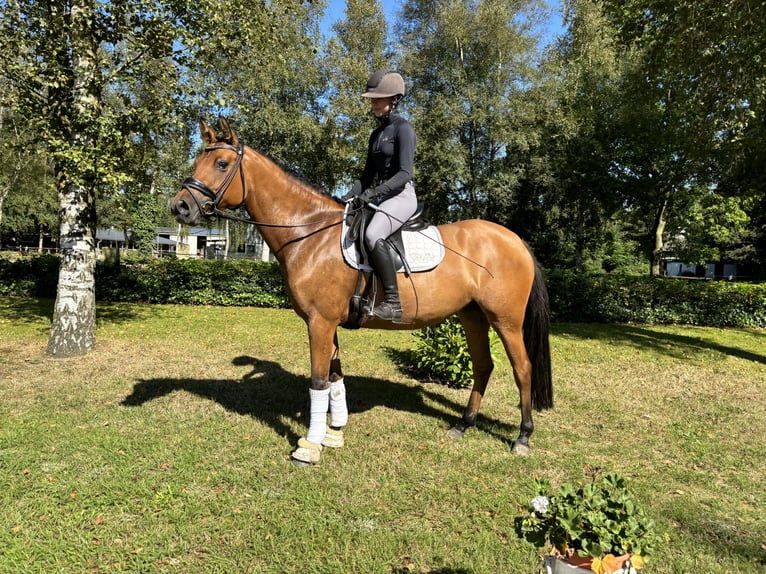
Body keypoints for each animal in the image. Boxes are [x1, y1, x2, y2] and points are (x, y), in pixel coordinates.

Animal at [170, 119, 552, 466]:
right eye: (197, 161)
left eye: (221, 164)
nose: (180, 207)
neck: (309, 233)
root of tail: (514, 239)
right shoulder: (326, 323)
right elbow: (335, 377)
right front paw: (334, 432)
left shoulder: (319, 323)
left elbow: (318, 381)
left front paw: (310, 447)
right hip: (472, 315)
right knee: (483, 366)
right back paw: (463, 425)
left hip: (505, 320)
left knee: (522, 368)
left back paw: (523, 437)